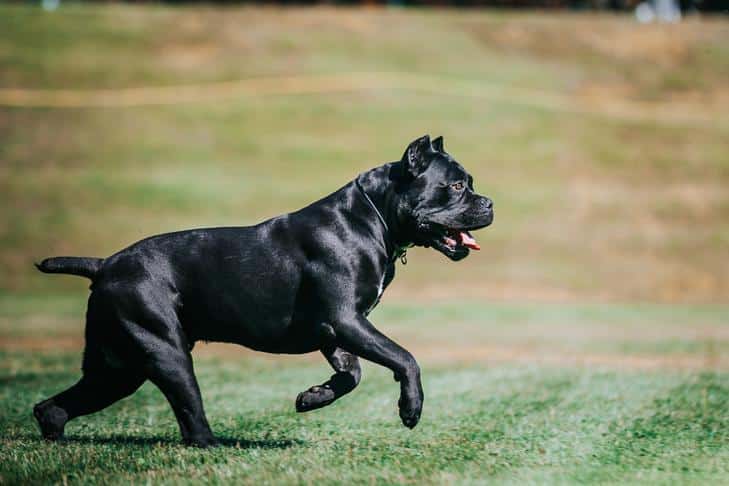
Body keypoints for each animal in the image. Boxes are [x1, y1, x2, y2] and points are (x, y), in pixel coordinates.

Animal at [32, 135, 490, 446]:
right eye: (454, 186)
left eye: (469, 183)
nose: (489, 203)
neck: (372, 217)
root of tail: (105, 264)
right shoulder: (346, 319)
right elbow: (404, 357)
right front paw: (410, 409)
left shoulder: (337, 329)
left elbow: (352, 373)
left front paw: (313, 397)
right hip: (164, 354)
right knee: (190, 414)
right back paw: (215, 447)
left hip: (117, 366)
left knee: (57, 405)